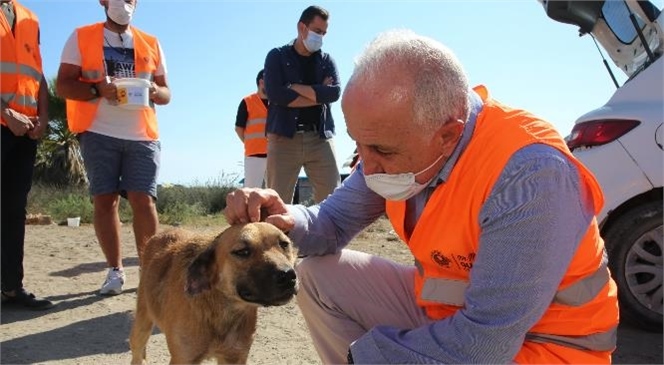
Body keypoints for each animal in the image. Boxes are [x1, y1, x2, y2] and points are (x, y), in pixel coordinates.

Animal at [127, 220, 298, 362]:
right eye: (242, 251)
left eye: (284, 244)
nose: (288, 276)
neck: (221, 312)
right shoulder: (183, 359)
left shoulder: (234, 356)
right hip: (141, 327)